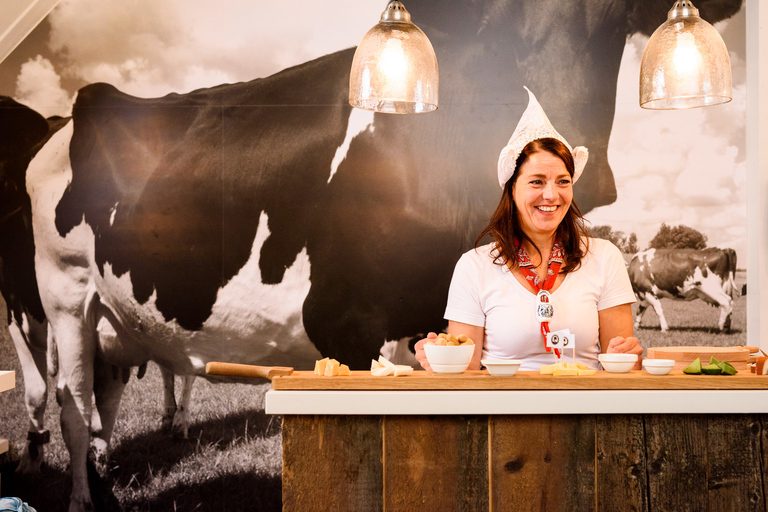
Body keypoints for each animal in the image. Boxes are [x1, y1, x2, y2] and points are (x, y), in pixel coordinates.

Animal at [25, 2, 744, 510]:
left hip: (115, 319)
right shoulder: (346, 320)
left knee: (103, 402)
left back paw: (110, 485)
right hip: (63, 296)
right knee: (71, 403)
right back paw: (84, 497)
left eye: (611, 25)